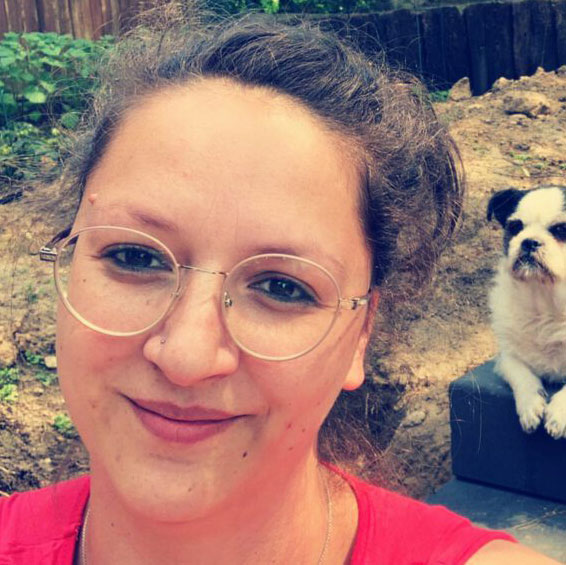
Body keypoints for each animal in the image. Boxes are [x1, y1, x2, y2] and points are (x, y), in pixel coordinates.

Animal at [488, 185, 566, 439]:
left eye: (561, 230)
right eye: (515, 227)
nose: (529, 241)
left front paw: (559, 413)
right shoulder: (505, 357)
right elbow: (520, 373)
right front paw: (530, 405)